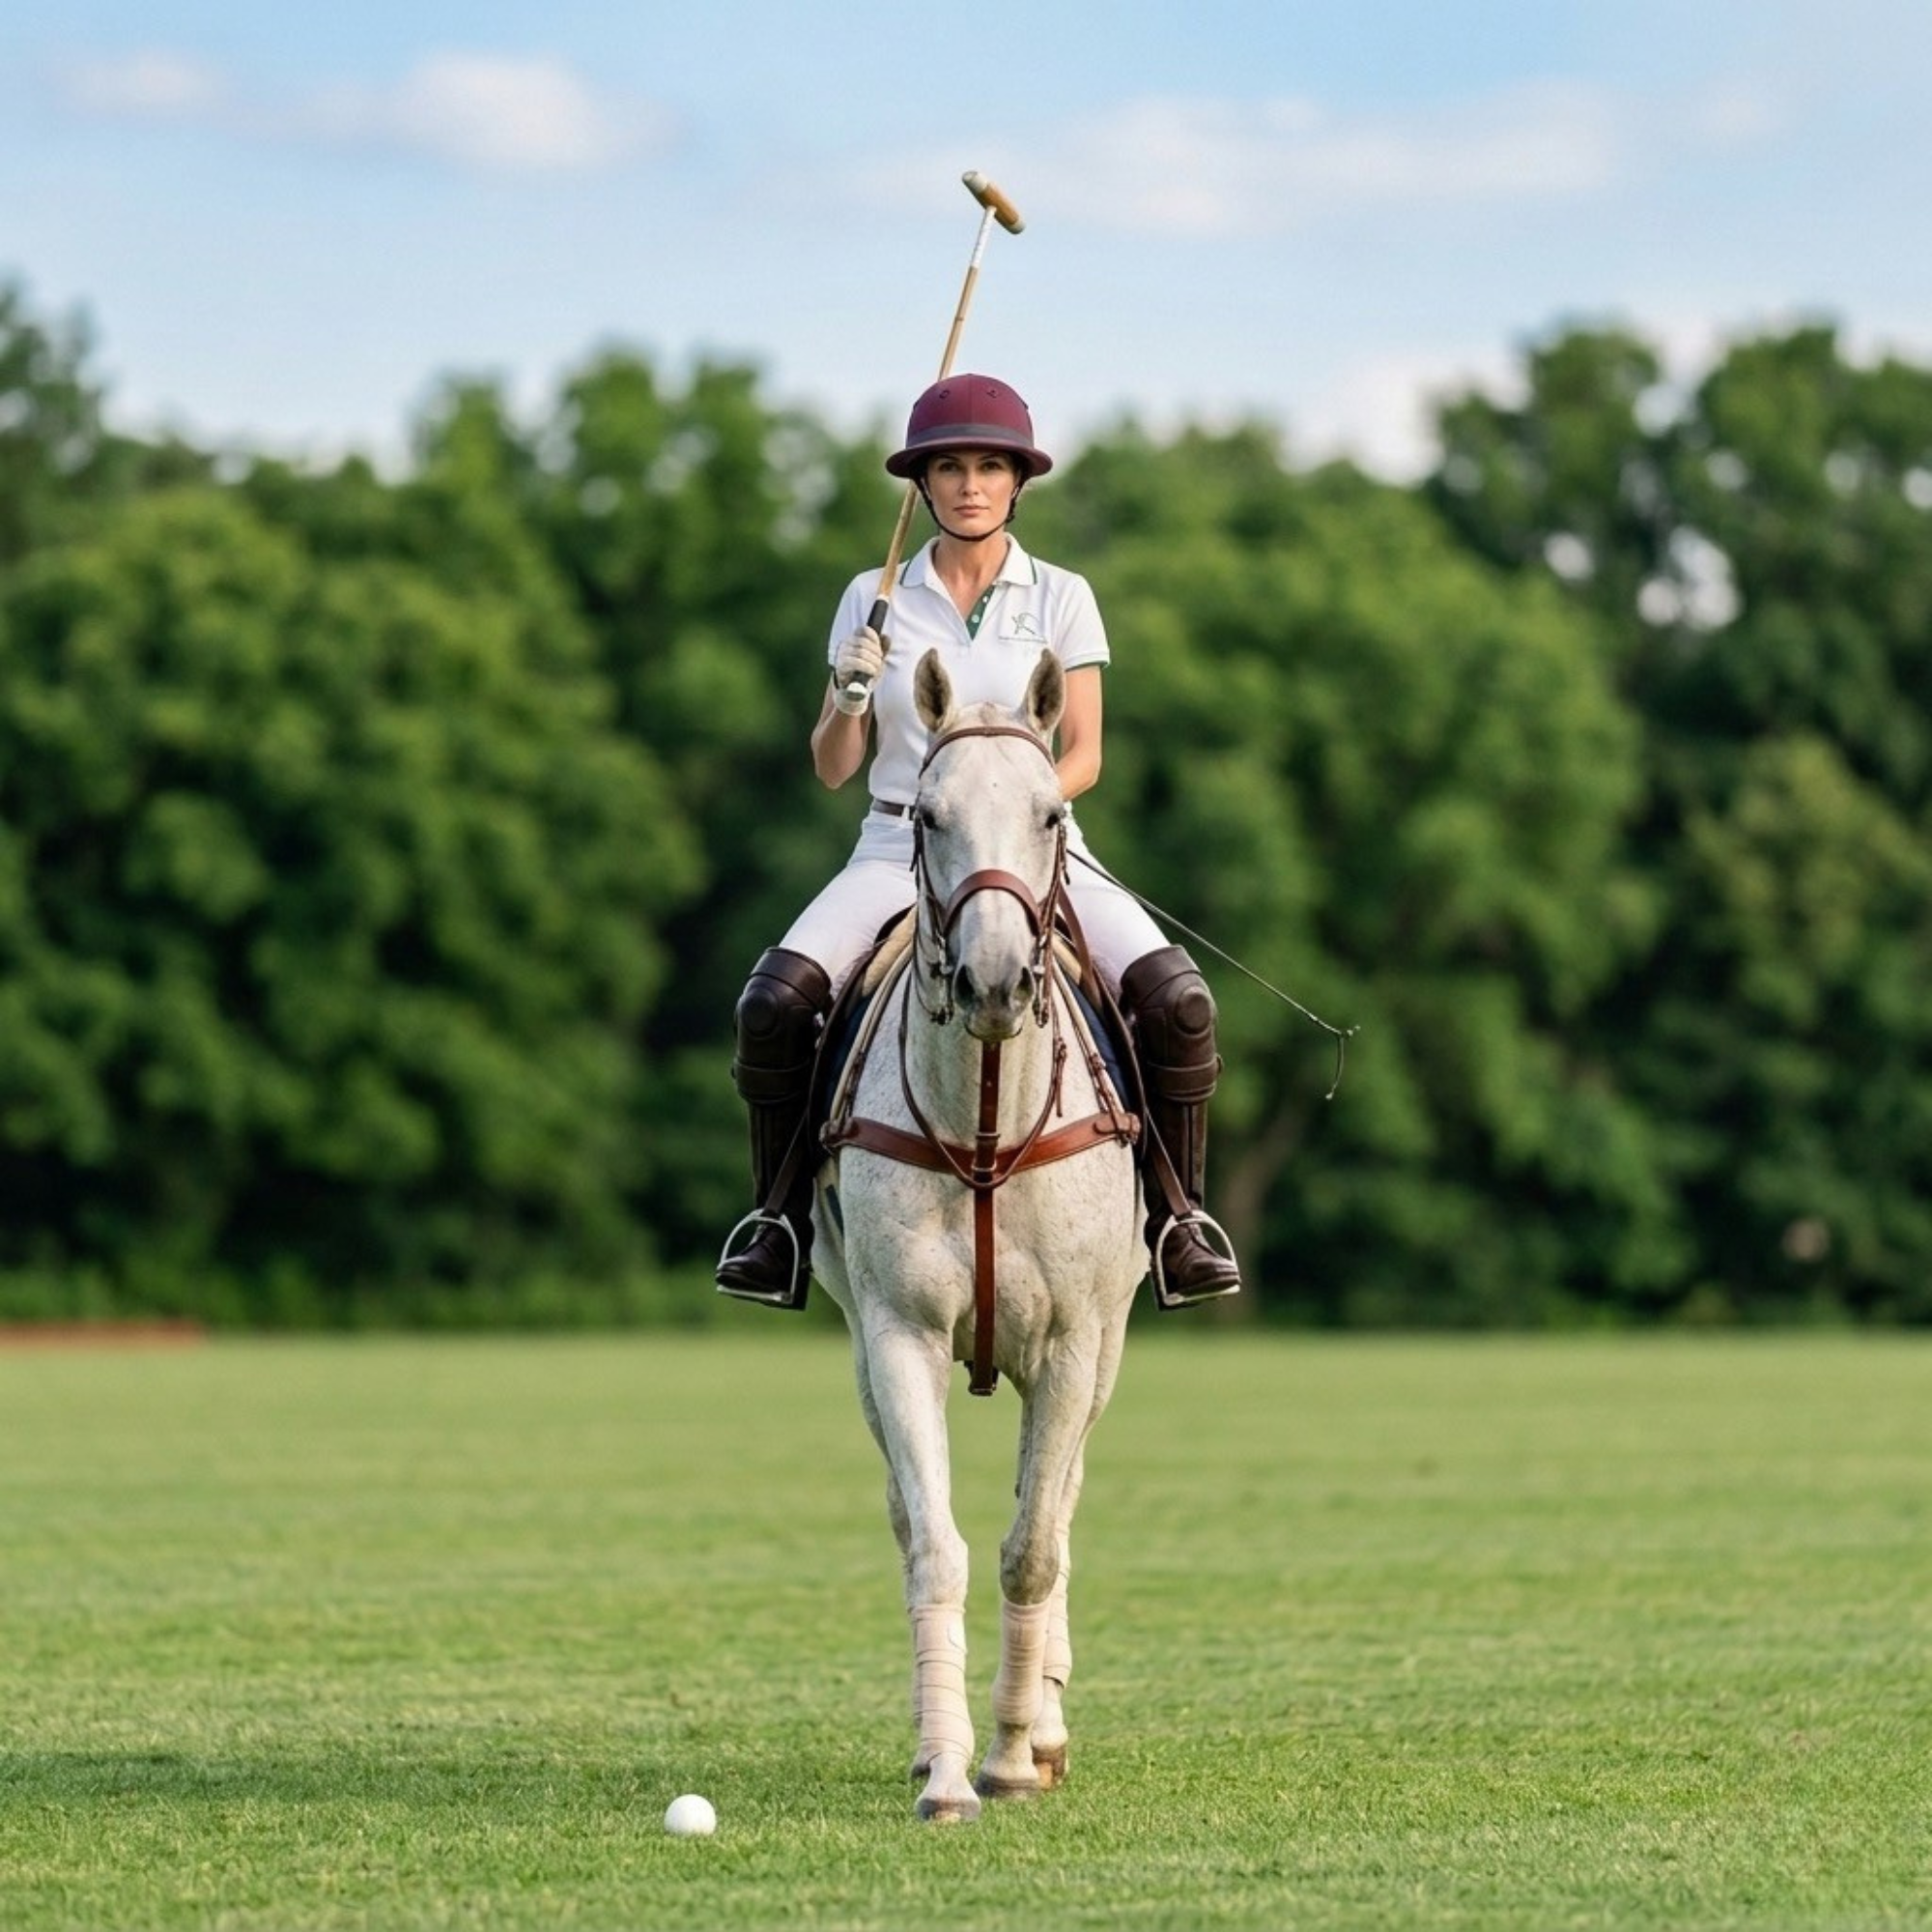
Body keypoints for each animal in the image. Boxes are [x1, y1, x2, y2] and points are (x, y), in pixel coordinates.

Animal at [810, 646, 1148, 1823]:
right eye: (926, 814)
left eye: (1051, 812)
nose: (995, 980)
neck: (990, 1125)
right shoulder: (896, 1334)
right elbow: (939, 1550)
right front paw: (950, 1769)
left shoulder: (1077, 1342)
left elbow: (1032, 1549)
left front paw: (1010, 1754)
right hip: (857, 1343)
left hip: (1108, 1347)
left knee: (1063, 1506)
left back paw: (1042, 1724)